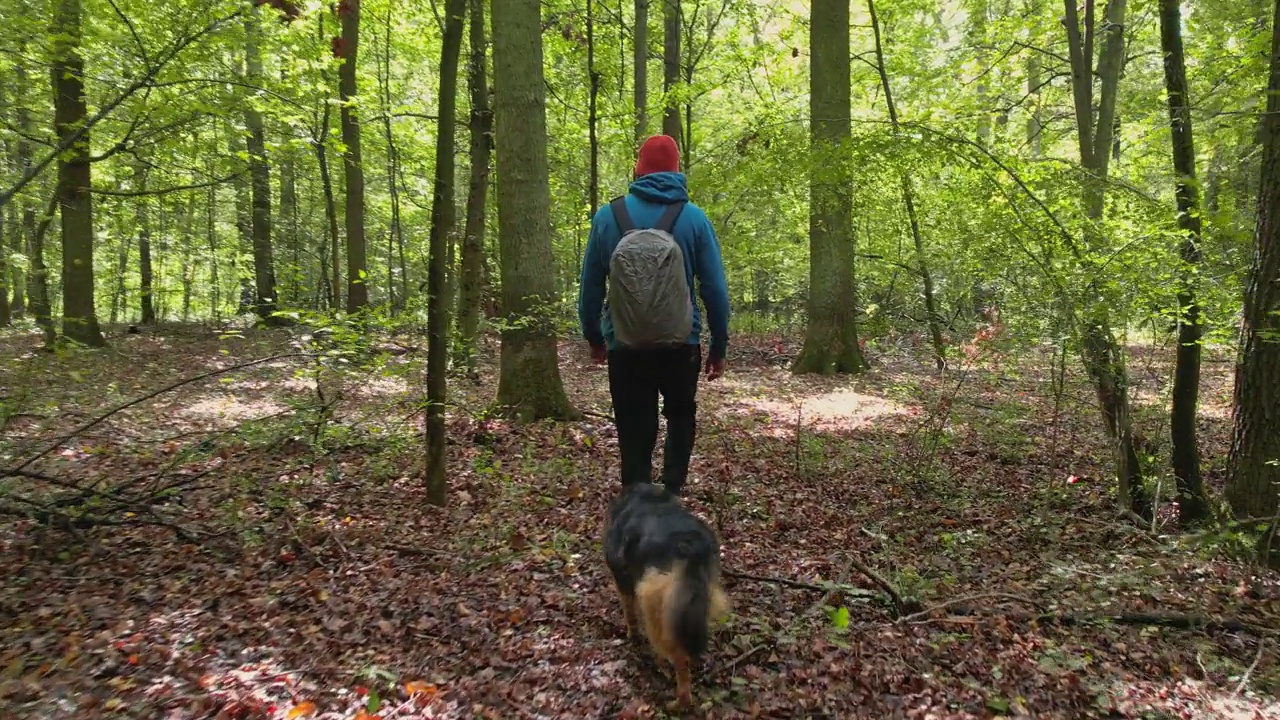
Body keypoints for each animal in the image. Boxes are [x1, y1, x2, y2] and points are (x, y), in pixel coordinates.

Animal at [601, 481, 732, 707]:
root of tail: (692, 545)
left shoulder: (623, 579)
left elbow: (629, 613)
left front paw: (632, 636)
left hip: (656, 604)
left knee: (678, 658)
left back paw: (679, 700)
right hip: (696, 600)